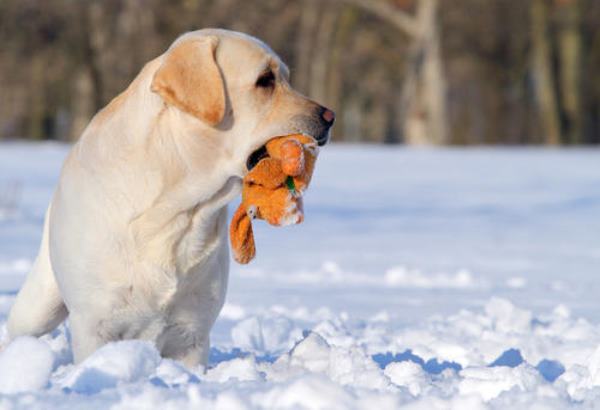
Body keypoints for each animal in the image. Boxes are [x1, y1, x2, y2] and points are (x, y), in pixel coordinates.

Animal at [7, 29, 336, 368]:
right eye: (265, 80)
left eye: (285, 77)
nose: (330, 116)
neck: (179, 209)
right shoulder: (94, 326)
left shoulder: (192, 334)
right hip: (40, 304)